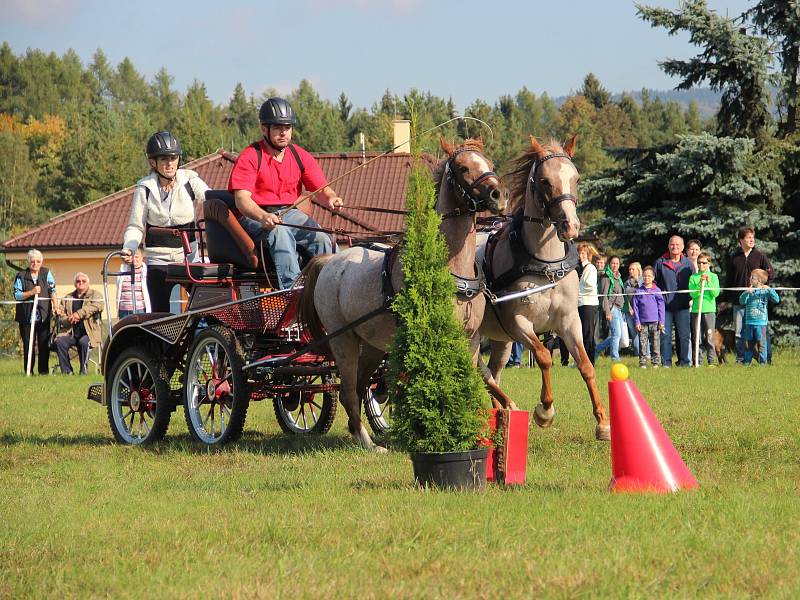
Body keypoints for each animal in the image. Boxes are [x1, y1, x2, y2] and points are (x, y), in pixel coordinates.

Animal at [476, 138, 612, 442]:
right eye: (545, 181)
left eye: (576, 178)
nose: (571, 226)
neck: (544, 263)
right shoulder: (518, 324)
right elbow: (544, 356)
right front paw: (545, 411)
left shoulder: (569, 321)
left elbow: (586, 364)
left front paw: (602, 422)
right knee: (481, 371)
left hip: (500, 342)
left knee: (492, 372)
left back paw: (501, 412)